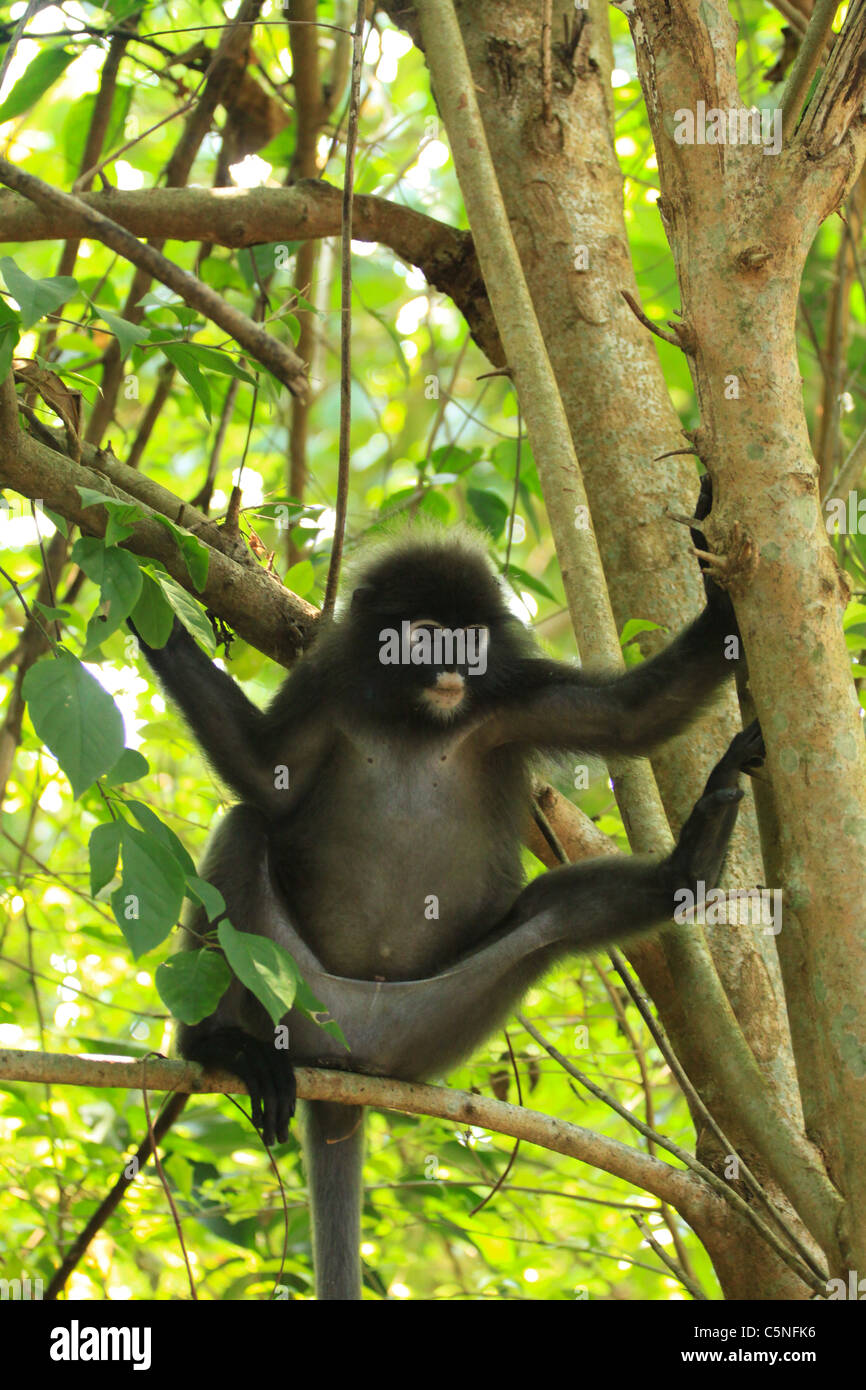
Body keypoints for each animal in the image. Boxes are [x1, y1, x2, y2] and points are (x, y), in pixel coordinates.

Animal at [129, 517, 761, 1301]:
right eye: (428, 636)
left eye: (470, 639)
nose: (454, 669)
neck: (418, 718)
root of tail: (352, 1054)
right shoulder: (328, 686)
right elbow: (261, 776)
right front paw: (140, 594)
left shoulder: (510, 697)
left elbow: (631, 717)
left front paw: (722, 593)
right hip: (290, 986)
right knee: (245, 829)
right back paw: (219, 1048)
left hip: (437, 1021)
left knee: (554, 916)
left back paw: (690, 863)